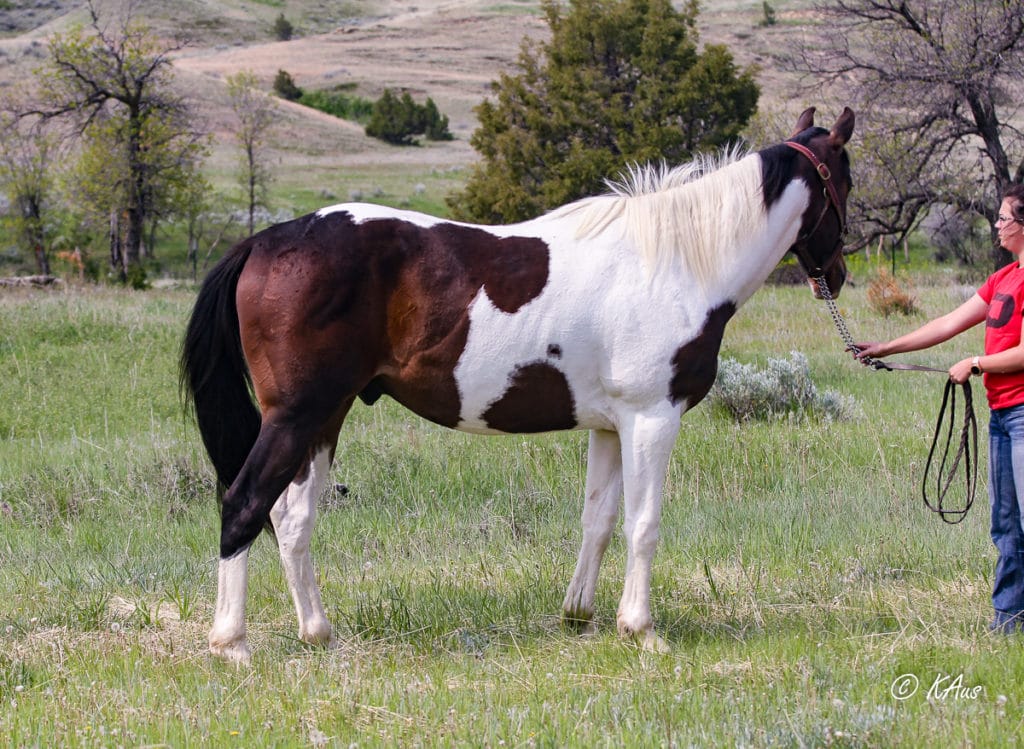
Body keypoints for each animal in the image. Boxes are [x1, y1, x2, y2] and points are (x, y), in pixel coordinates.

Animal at [182, 107, 856, 663]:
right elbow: (643, 524)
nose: (840, 273)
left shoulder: (612, 428)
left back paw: (317, 634)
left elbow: (599, 520)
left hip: (325, 417)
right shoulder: (652, 418)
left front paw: (579, 615)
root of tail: (264, 241)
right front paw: (641, 630)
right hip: (296, 416)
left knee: (292, 518)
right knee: (244, 505)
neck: (676, 261)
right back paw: (232, 643)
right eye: (845, 181)